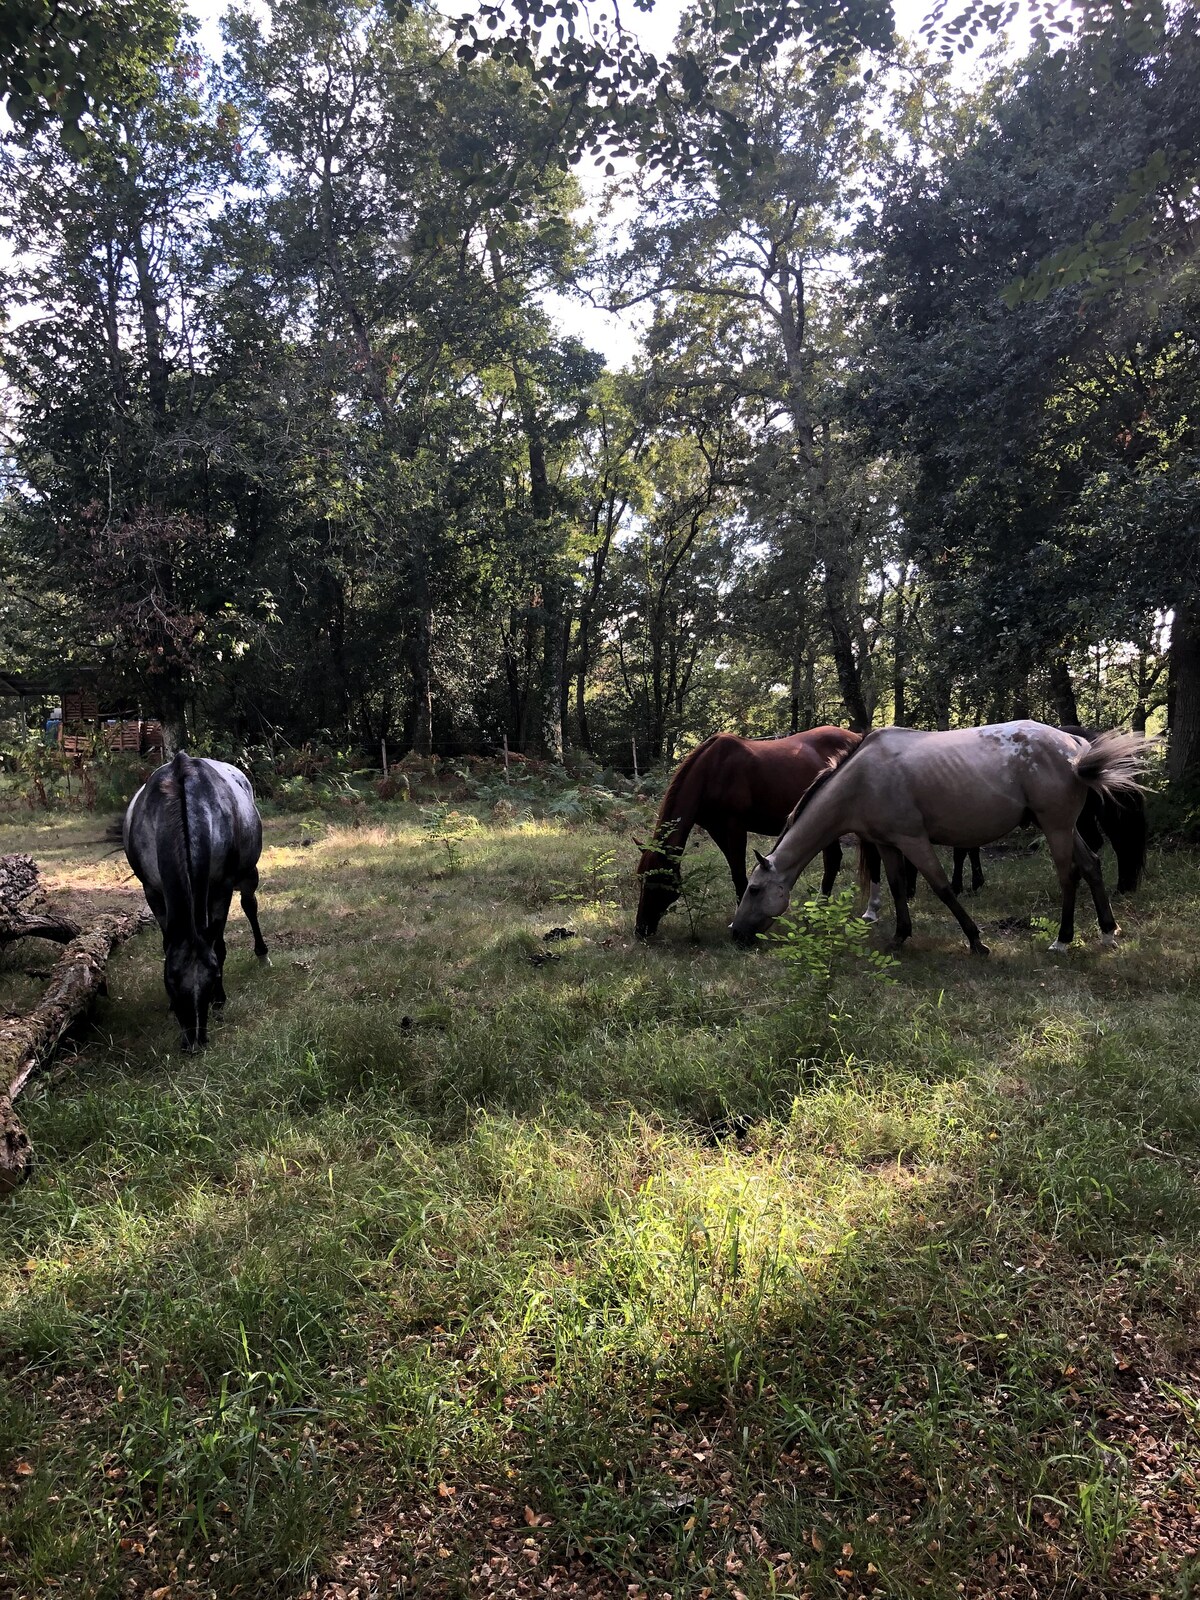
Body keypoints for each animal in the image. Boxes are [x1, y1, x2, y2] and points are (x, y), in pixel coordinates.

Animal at [124, 752, 270, 1049]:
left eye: (213, 977)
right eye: (169, 981)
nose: (194, 1041)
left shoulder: (222, 887)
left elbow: (218, 946)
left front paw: (220, 1000)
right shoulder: (152, 891)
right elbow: (168, 942)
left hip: (247, 874)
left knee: (250, 906)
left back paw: (263, 954)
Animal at [630, 729, 876, 934]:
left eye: (656, 883)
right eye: (640, 879)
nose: (641, 930)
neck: (712, 771)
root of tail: (856, 736)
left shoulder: (735, 827)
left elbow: (739, 873)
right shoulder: (717, 830)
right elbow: (735, 870)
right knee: (833, 860)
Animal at [732, 723, 1158, 953]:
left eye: (754, 889)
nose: (735, 934)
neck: (861, 780)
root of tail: (1075, 747)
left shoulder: (914, 840)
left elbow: (942, 888)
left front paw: (976, 941)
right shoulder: (887, 843)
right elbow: (896, 886)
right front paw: (899, 937)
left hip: (1055, 827)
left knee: (1069, 875)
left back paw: (1063, 940)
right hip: (1064, 827)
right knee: (1091, 866)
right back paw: (1108, 933)